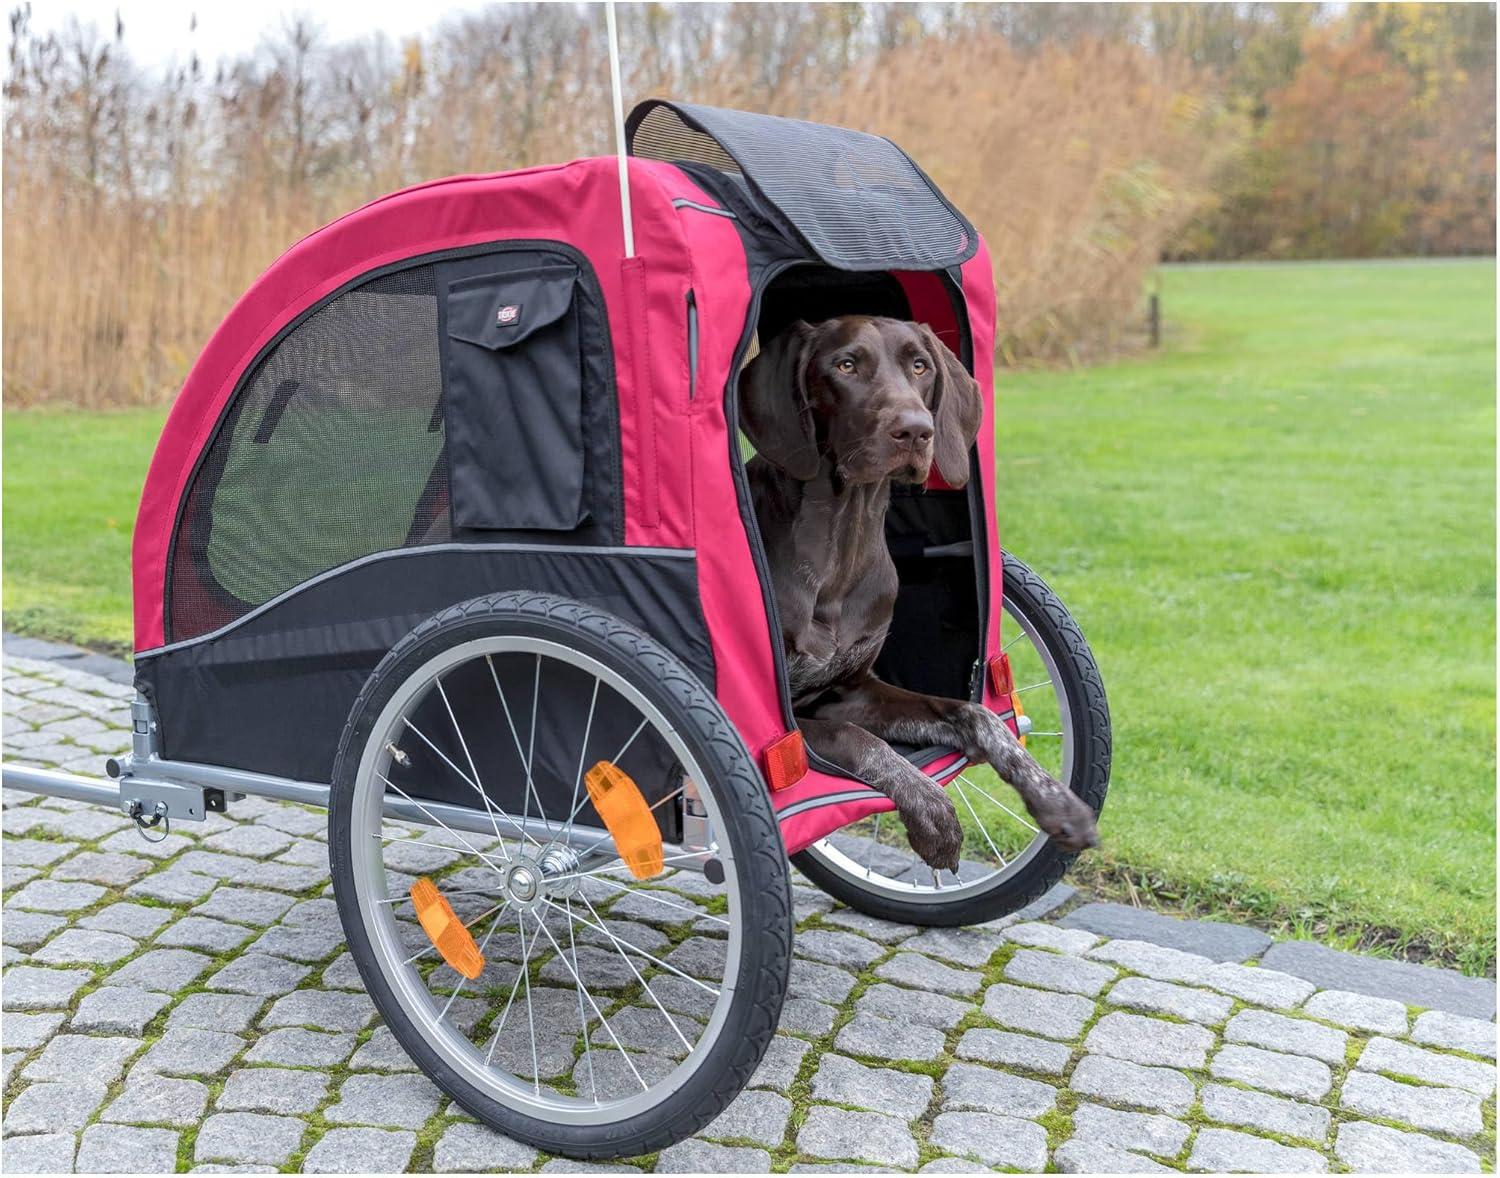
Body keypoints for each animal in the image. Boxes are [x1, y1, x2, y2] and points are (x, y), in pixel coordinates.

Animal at [741, 316, 1104, 870]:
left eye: (919, 366)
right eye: (845, 365)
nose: (915, 429)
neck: (842, 544)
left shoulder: (850, 692)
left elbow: (976, 714)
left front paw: (1056, 800)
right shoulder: (787, 722)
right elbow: (859, 740)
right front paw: (934, 812)